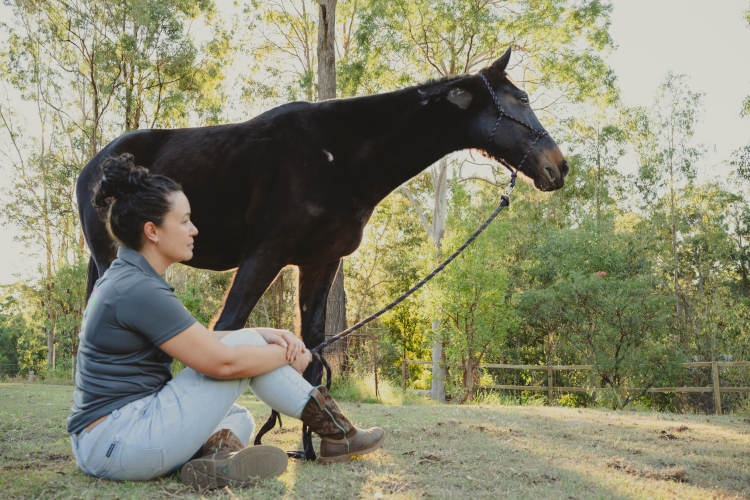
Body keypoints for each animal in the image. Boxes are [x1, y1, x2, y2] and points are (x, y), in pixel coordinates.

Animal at [78, 46, 568, 352]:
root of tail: (96, 167)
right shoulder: (264, 255)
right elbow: (228, 327)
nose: (559, 167)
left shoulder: (321, 261)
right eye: (521, 99)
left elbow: (313, 347)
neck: (337, 156)